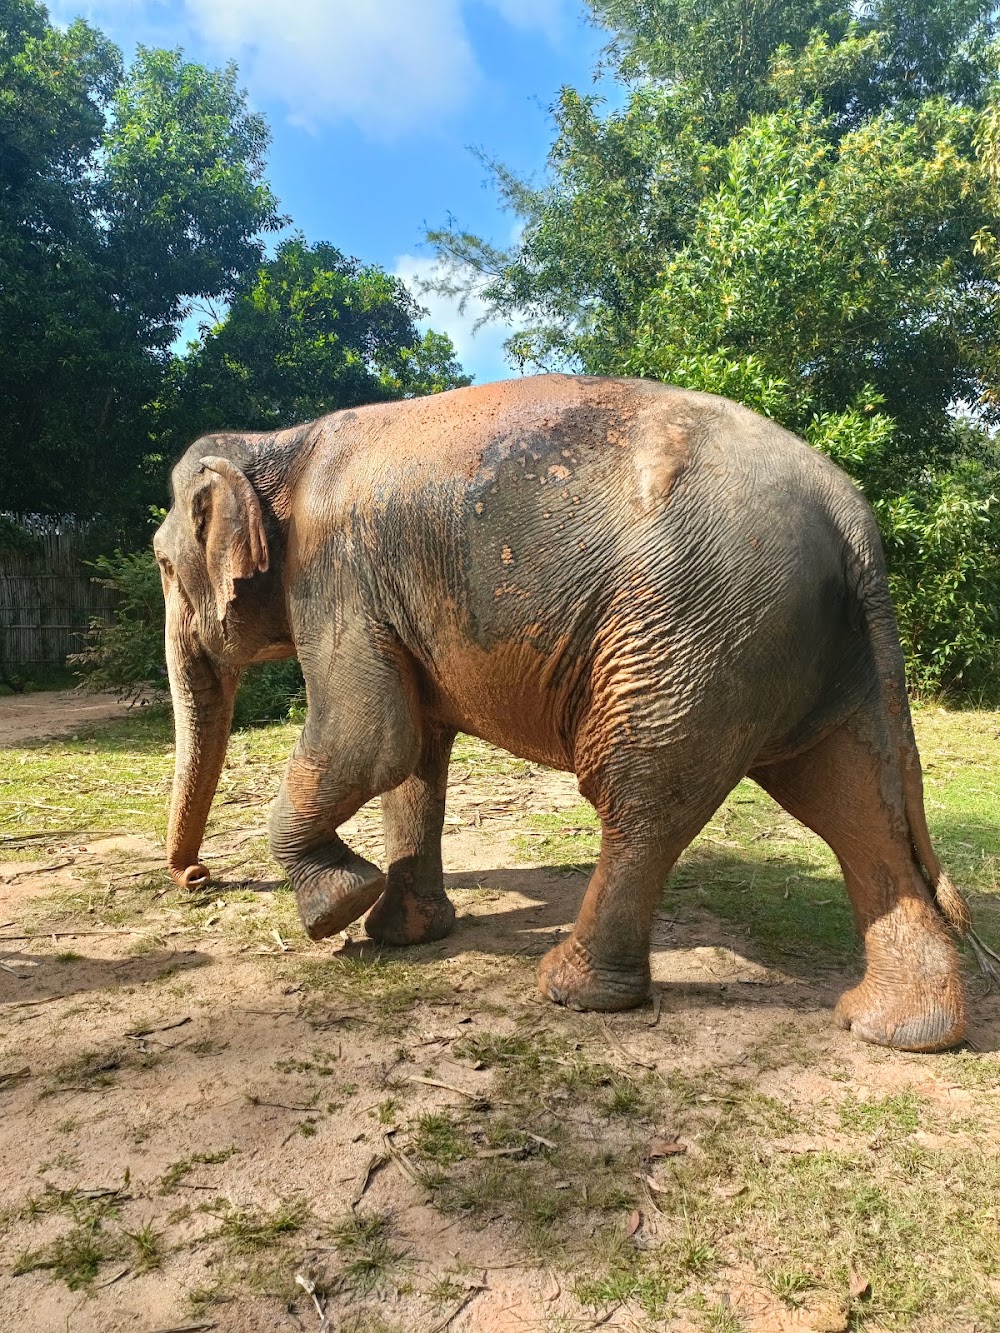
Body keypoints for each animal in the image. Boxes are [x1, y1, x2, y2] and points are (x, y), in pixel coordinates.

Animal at [152, 373, 992, 1050]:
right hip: (809, 644)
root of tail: (851, 515)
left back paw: (571, 988)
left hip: (691, 628)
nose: (197, 876)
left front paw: (335, 909)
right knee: (850, 798)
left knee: (640, 793)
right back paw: (898, 1030)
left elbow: (372, 740)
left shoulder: (336, 575)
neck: (277, 443)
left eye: (161, 564)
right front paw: (401, 934)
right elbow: (415, 754)